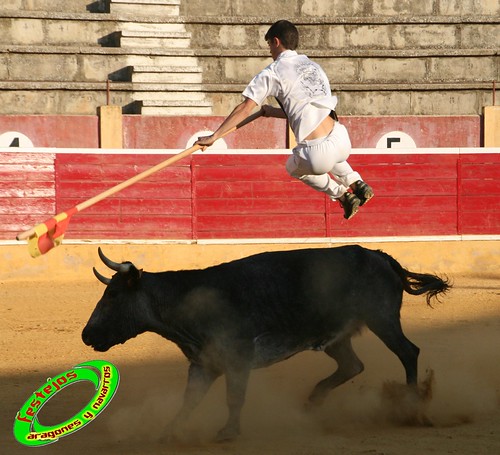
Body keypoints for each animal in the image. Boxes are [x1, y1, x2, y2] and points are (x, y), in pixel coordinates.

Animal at [81, 246, 450, 442]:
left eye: (113, 296)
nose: (87, 335)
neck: (188, 302)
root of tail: (377, 254)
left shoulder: (237, 360)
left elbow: (234, 398)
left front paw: (228, 432)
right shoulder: (203, 364)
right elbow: (190, 401)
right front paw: (168, 433)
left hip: (382, 319)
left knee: (408, 352)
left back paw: (411, 407)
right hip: (338, 337)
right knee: (352, 365)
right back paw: (312, 403)